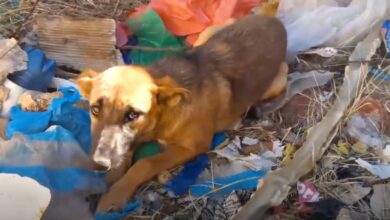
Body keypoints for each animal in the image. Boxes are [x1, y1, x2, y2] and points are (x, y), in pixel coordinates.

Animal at [76, 14, 288, 212]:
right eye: (95, 109)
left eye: (133, 115)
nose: (99, 164)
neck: (163, 118)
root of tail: (274, 20)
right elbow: (126, 154)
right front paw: (109, 180)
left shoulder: (193, 147)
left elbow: (145, 163)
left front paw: (115, 194)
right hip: (208, 34)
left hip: (277, 83)